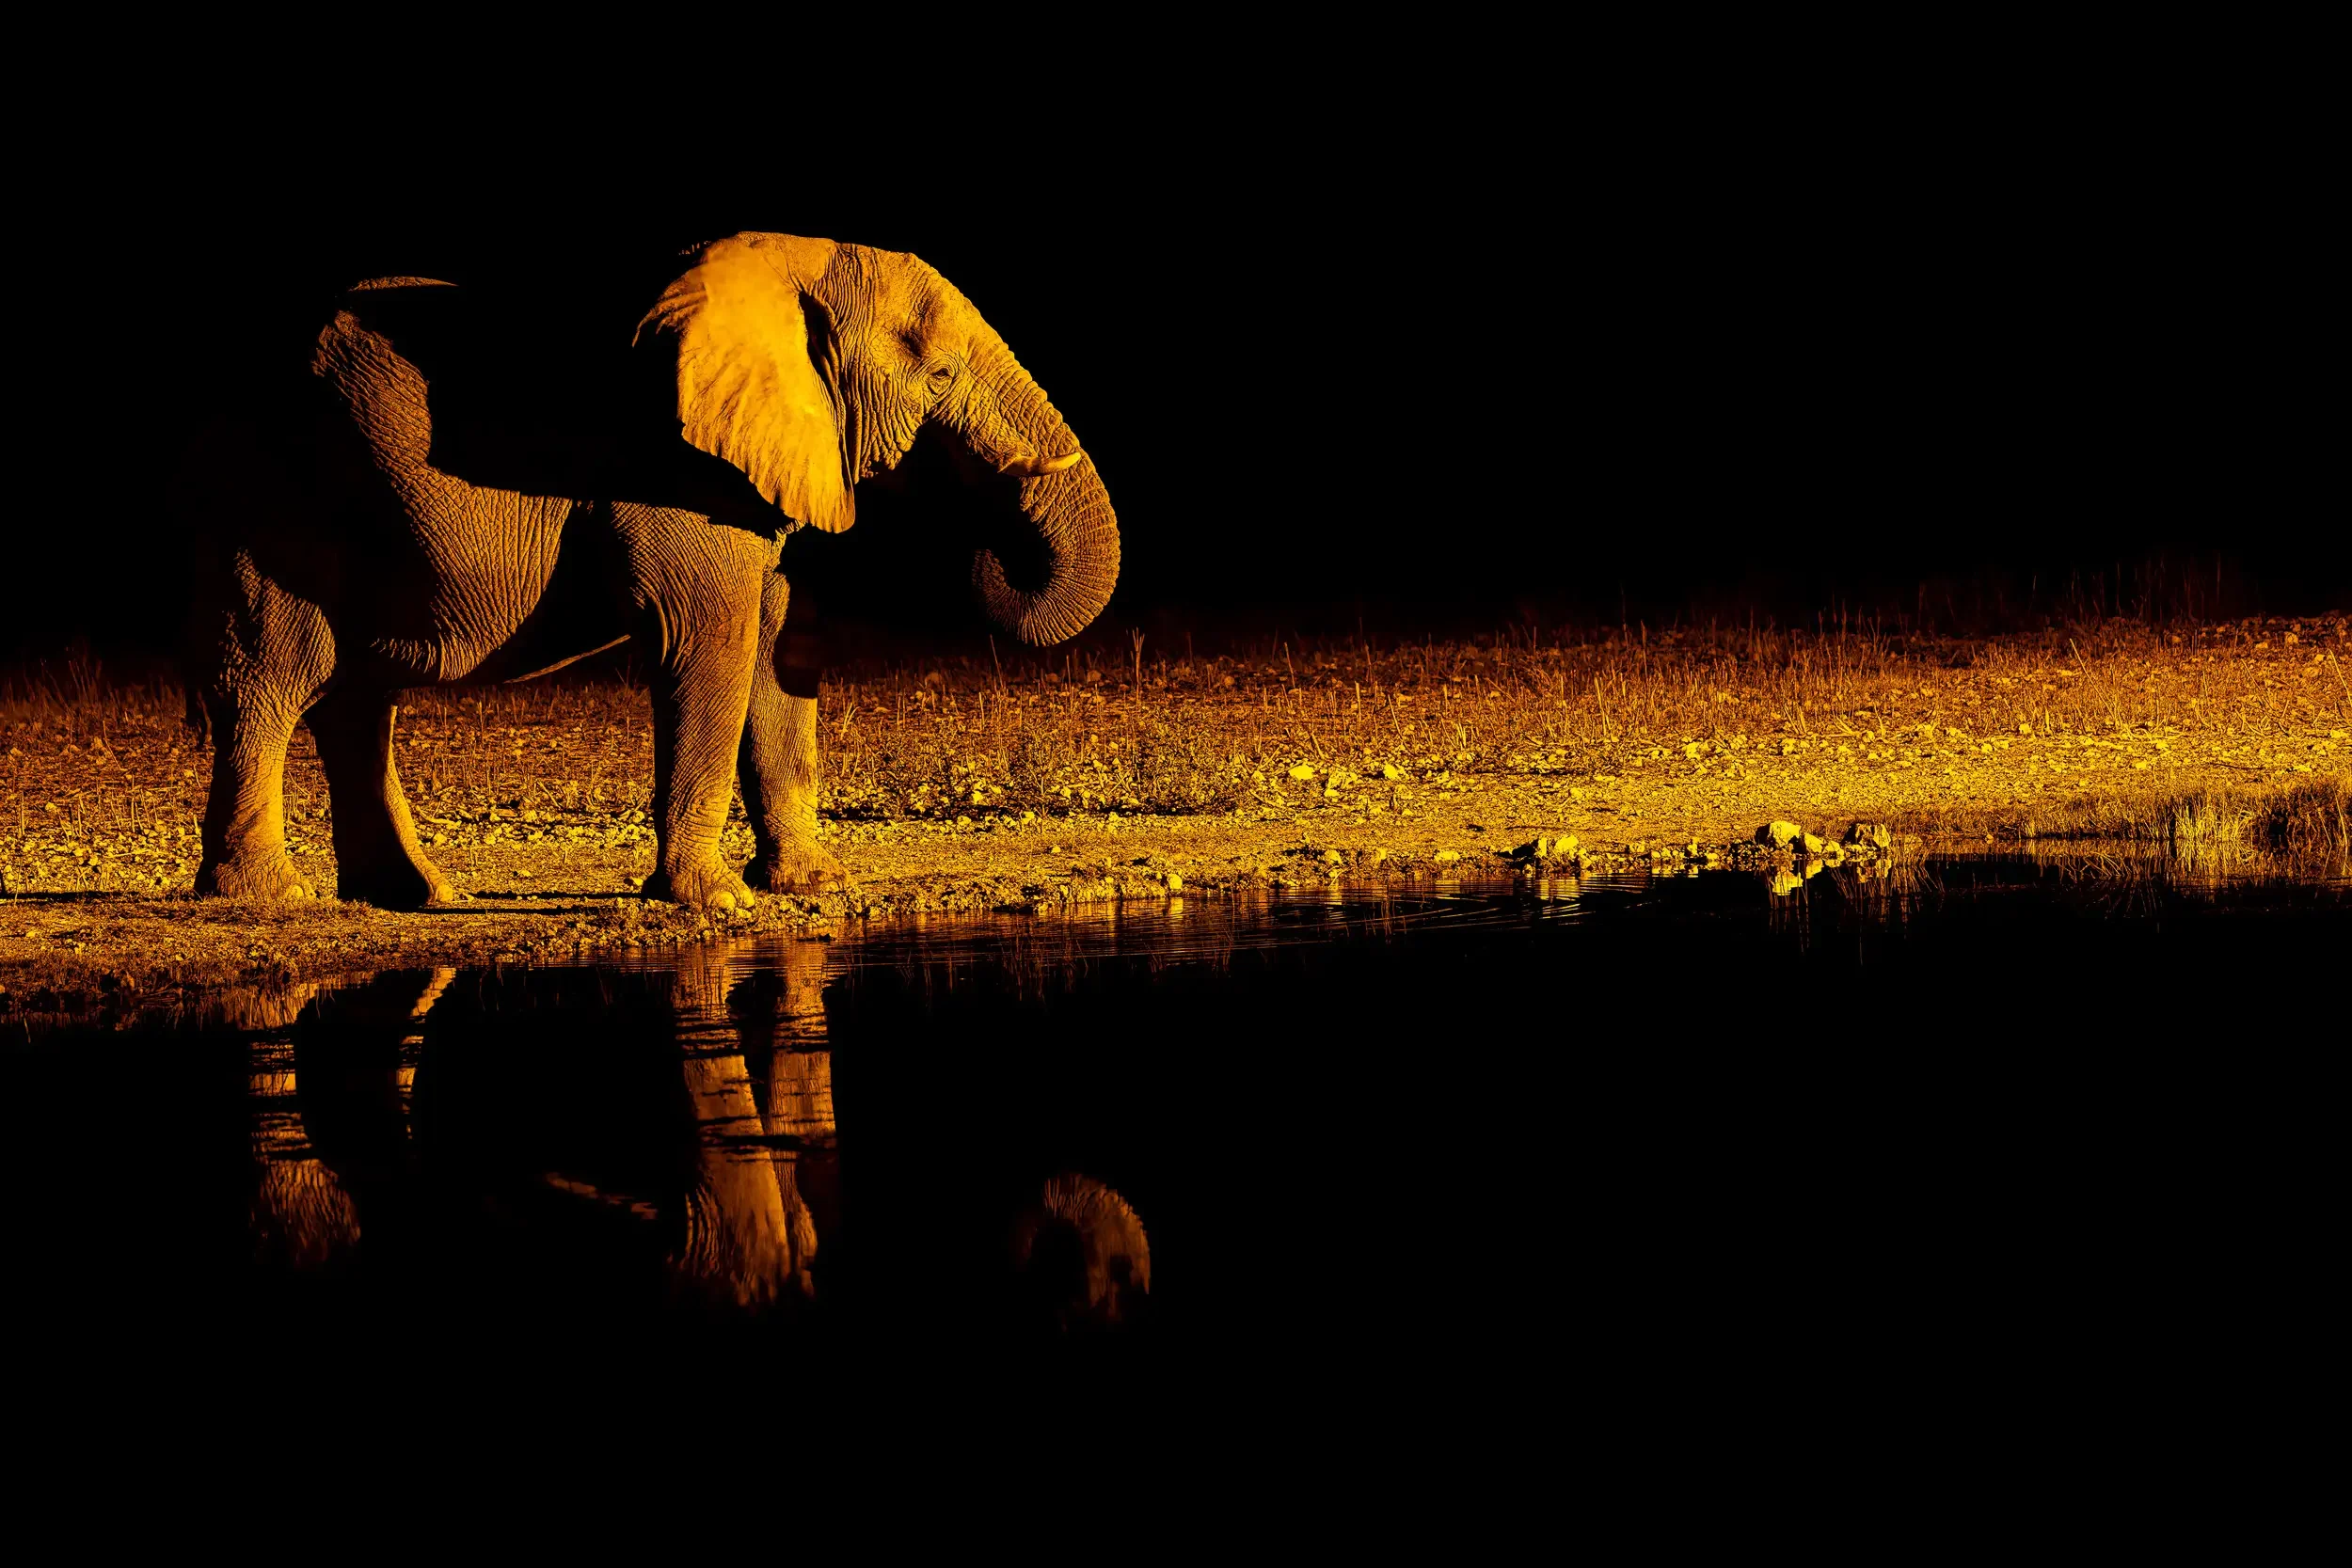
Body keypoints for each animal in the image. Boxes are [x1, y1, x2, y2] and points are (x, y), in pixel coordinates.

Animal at [175, 232, 1120, 908]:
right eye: (941, 375)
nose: (988, 549)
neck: (781, 269)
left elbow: (776, 644)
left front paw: (814, 885)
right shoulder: (674, 469)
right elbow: (712, 642)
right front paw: (718, 904)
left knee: (358, 698)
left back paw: (416, 895)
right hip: (275, 499)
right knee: (274, 678)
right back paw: (272, 897)